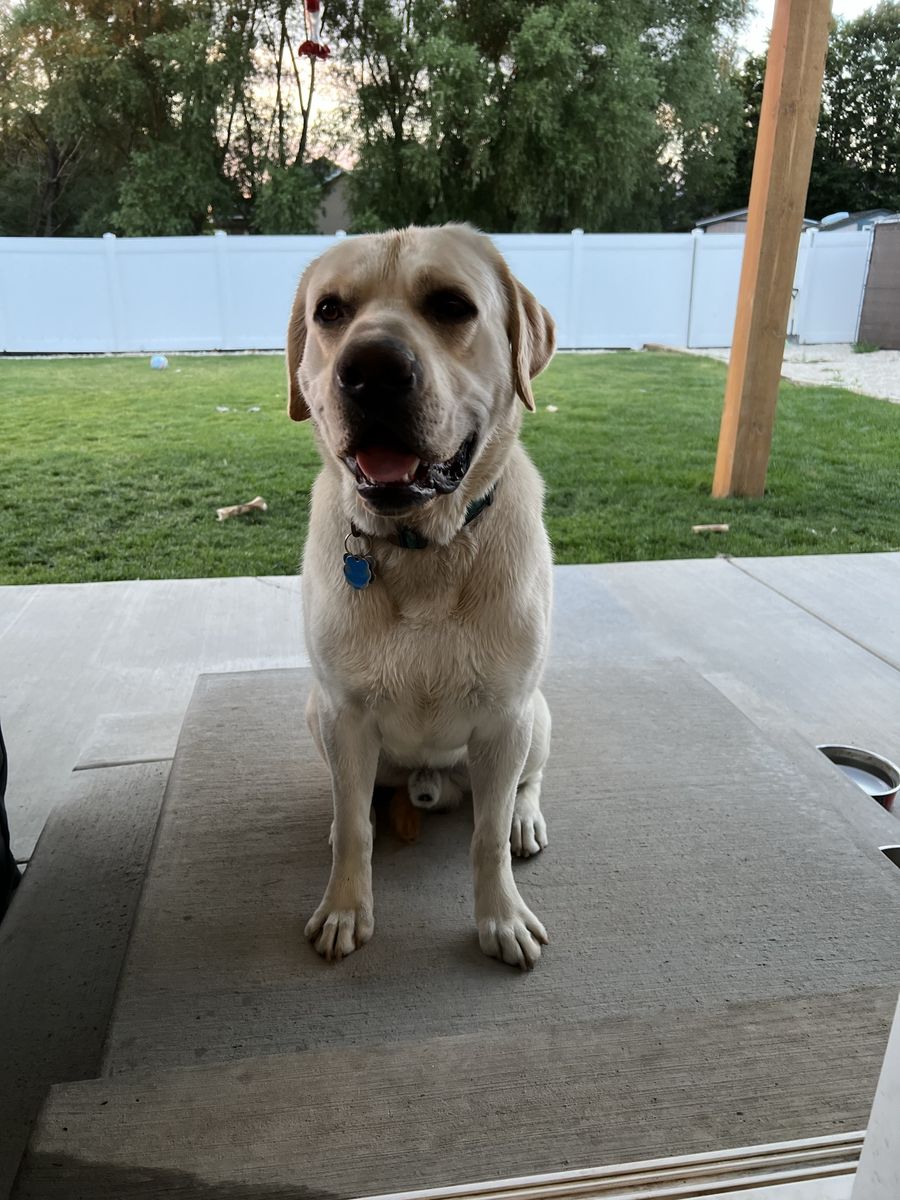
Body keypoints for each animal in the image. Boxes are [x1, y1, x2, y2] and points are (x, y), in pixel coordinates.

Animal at [287, 224, 555, 969]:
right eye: (330, 311)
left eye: (452, 305)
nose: (370, 370)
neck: (423, 549)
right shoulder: (345, 716)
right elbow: (356, 826)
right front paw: (345, 907)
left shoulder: (505, 719)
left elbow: (486, 839)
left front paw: (500, 919)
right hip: (316, 713)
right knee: (354, 802)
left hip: (538, 718)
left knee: (522, 788)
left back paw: (525, 817)